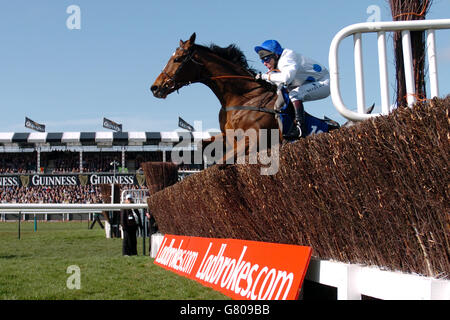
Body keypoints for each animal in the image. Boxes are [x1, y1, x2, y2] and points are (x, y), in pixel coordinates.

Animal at [150, 32, 338, 164]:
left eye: (178, 59)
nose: (155, 87)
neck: (243, 98)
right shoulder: (228, 136)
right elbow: (203, 144)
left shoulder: (254, 139)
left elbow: (223, 161)